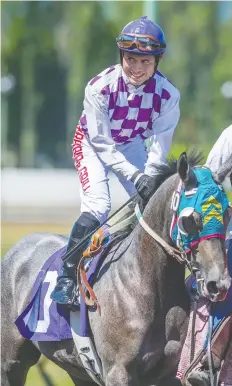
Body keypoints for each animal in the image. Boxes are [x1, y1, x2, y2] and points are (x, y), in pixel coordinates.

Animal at [1, 152, 232, 386]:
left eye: (226, 213)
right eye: (189, 219)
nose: (218, 284)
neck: (146, 286)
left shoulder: (169, 373)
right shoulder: (118, 371)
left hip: (77, 370)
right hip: (11, 362)